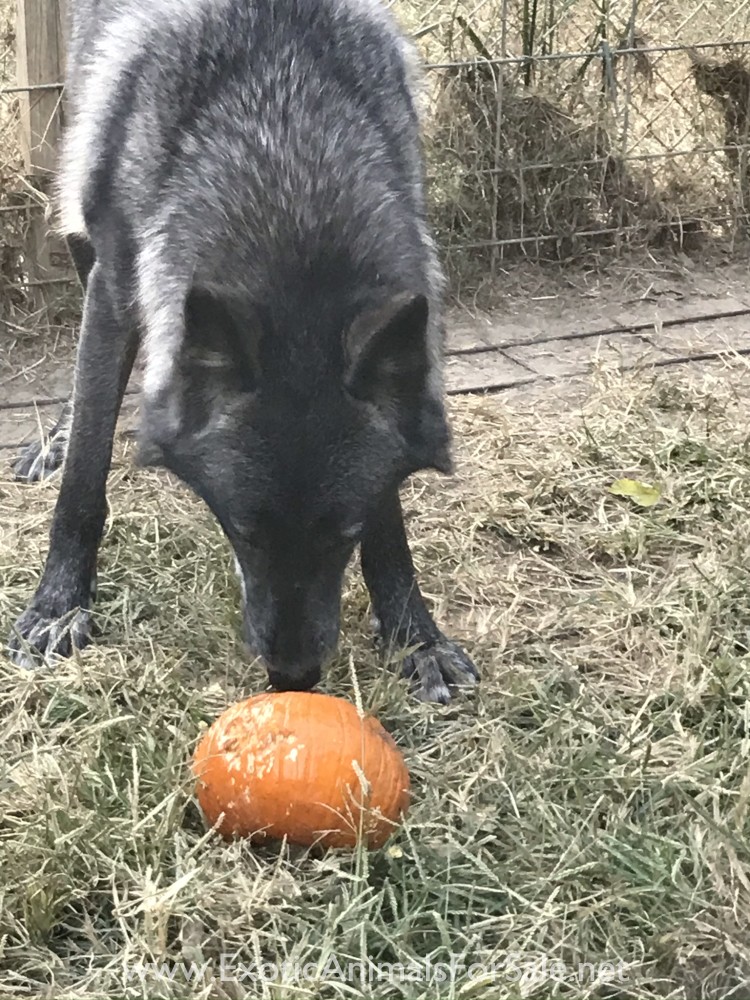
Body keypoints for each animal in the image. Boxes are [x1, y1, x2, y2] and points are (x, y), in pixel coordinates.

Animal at [8, 0, 478, 703]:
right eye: (244, 530)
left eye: (343, 536)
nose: (294, 677)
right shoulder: (116, 291)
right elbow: (86, 474)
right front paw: (57, 606)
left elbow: (389, 517)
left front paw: (417, 635)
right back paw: (57, 440)